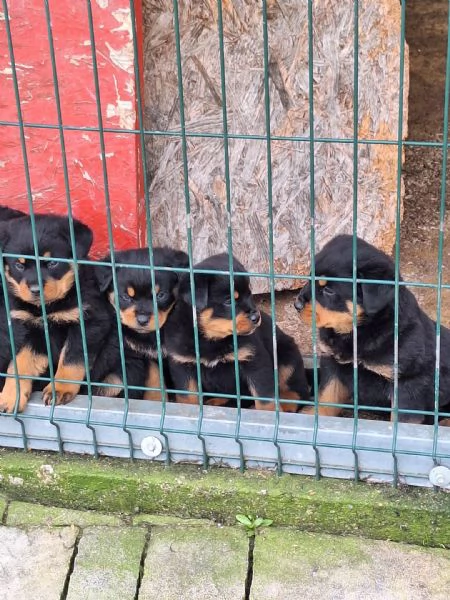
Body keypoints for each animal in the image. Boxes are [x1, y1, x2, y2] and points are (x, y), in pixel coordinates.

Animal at [0, 212, 110, 412]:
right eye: (19, 265)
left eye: (52, 263)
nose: (35, 290)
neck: (48, 306)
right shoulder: (31, 328)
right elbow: (20, 363)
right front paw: (12, 395)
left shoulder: (90, 320)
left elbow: (72, 358)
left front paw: (59, 389)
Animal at [164, 253, 310, 412]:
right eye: (229, 301)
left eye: (250, 294)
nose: (256, 317)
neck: (211, 339)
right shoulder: (182, 364)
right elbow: (188, 397)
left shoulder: (254, 360)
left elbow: (265, 397)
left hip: (287, 359)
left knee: (299, 390)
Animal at [294, 232, 450, 424]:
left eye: (329, 290)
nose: (297, 304)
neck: (359, 330)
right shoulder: (332, 363)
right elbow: (327, 395)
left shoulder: (407, 382)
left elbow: (401, 419)